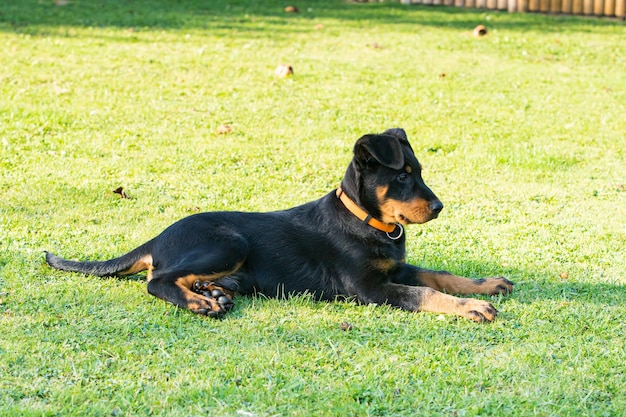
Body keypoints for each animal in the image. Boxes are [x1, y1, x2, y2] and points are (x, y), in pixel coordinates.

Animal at [45, 127, 512, 322]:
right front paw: (471, 307)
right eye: (401, 177)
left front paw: (486, 285)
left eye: (419, 172)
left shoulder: (394, 269)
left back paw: (214, 293)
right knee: (157, 280)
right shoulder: (368, 287)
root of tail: (156, 238)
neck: (366, 221)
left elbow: (440, 275)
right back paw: (200, 303)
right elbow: (424, 292)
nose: (438, 207)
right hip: (228, 242)